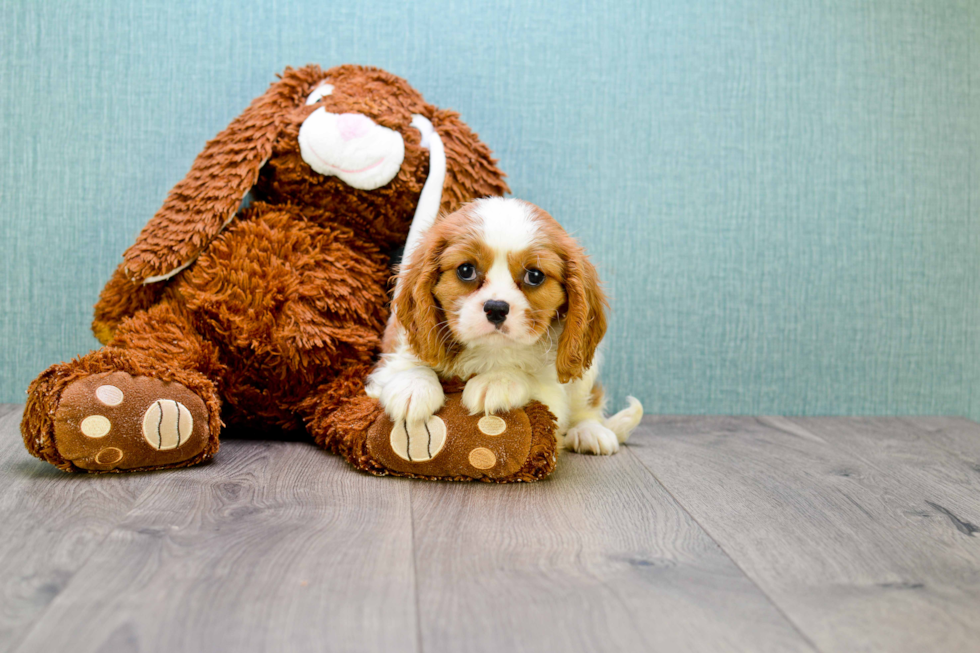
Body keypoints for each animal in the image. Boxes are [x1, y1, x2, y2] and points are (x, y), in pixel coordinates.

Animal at [368, 197, 644, 454]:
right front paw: (413, 385)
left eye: (535, 276)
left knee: (588, 405)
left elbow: (532, 378)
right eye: (466, 270)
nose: (496, 308)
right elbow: (410, 362)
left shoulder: (553, 392)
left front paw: (498, 381)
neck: (491, 352)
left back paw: (590, 431)